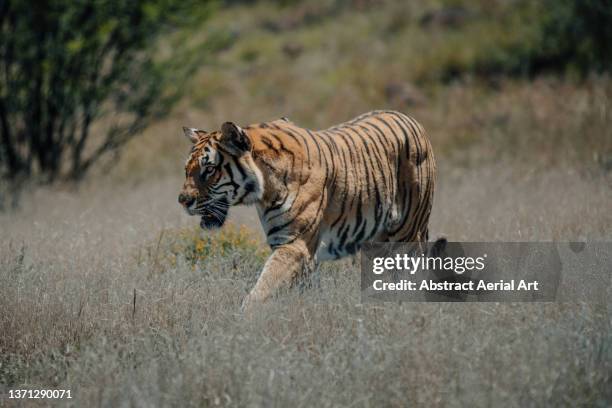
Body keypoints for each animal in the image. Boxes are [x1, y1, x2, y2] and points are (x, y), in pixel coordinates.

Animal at [177, 110, 436, 310]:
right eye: (187, 169)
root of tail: (411, 119)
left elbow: (261, 291)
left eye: (209, 169)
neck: (265, 189)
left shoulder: (294, 244)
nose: (182, 200)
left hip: (408, 233)